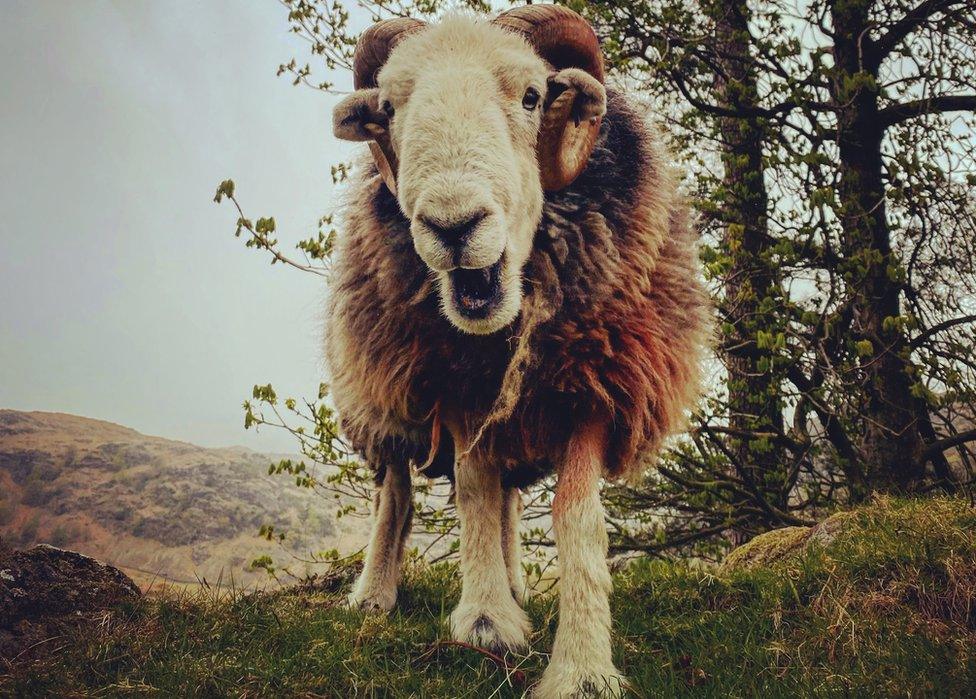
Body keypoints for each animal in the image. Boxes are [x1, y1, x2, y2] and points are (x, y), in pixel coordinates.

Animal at [328, 4, 708, 696]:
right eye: (389, 108)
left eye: (534, 96)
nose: (453, 226)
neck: (498, 339)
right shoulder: (451, 385)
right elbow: (474, 490)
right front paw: (486, 621)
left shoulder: (596, 386)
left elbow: (575, 516)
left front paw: (581, 665)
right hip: (380, 393)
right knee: (395, 490)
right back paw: (374, 594)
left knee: (506, 501)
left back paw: (515, 586)